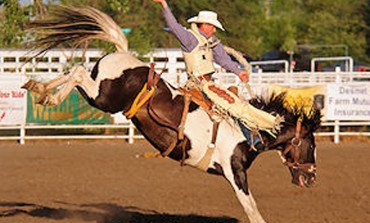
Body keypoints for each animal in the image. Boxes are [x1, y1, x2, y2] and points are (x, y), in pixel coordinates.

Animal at [21, 5, 320, 223]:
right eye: (311, 145)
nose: (312, 178)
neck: (247, 131)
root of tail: (123, 54)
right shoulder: (235, 173)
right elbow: (252, 210)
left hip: (102, 96)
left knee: (75, 72)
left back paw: (39, 88)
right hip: (104, 97)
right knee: (78, 72)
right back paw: (47, 93)